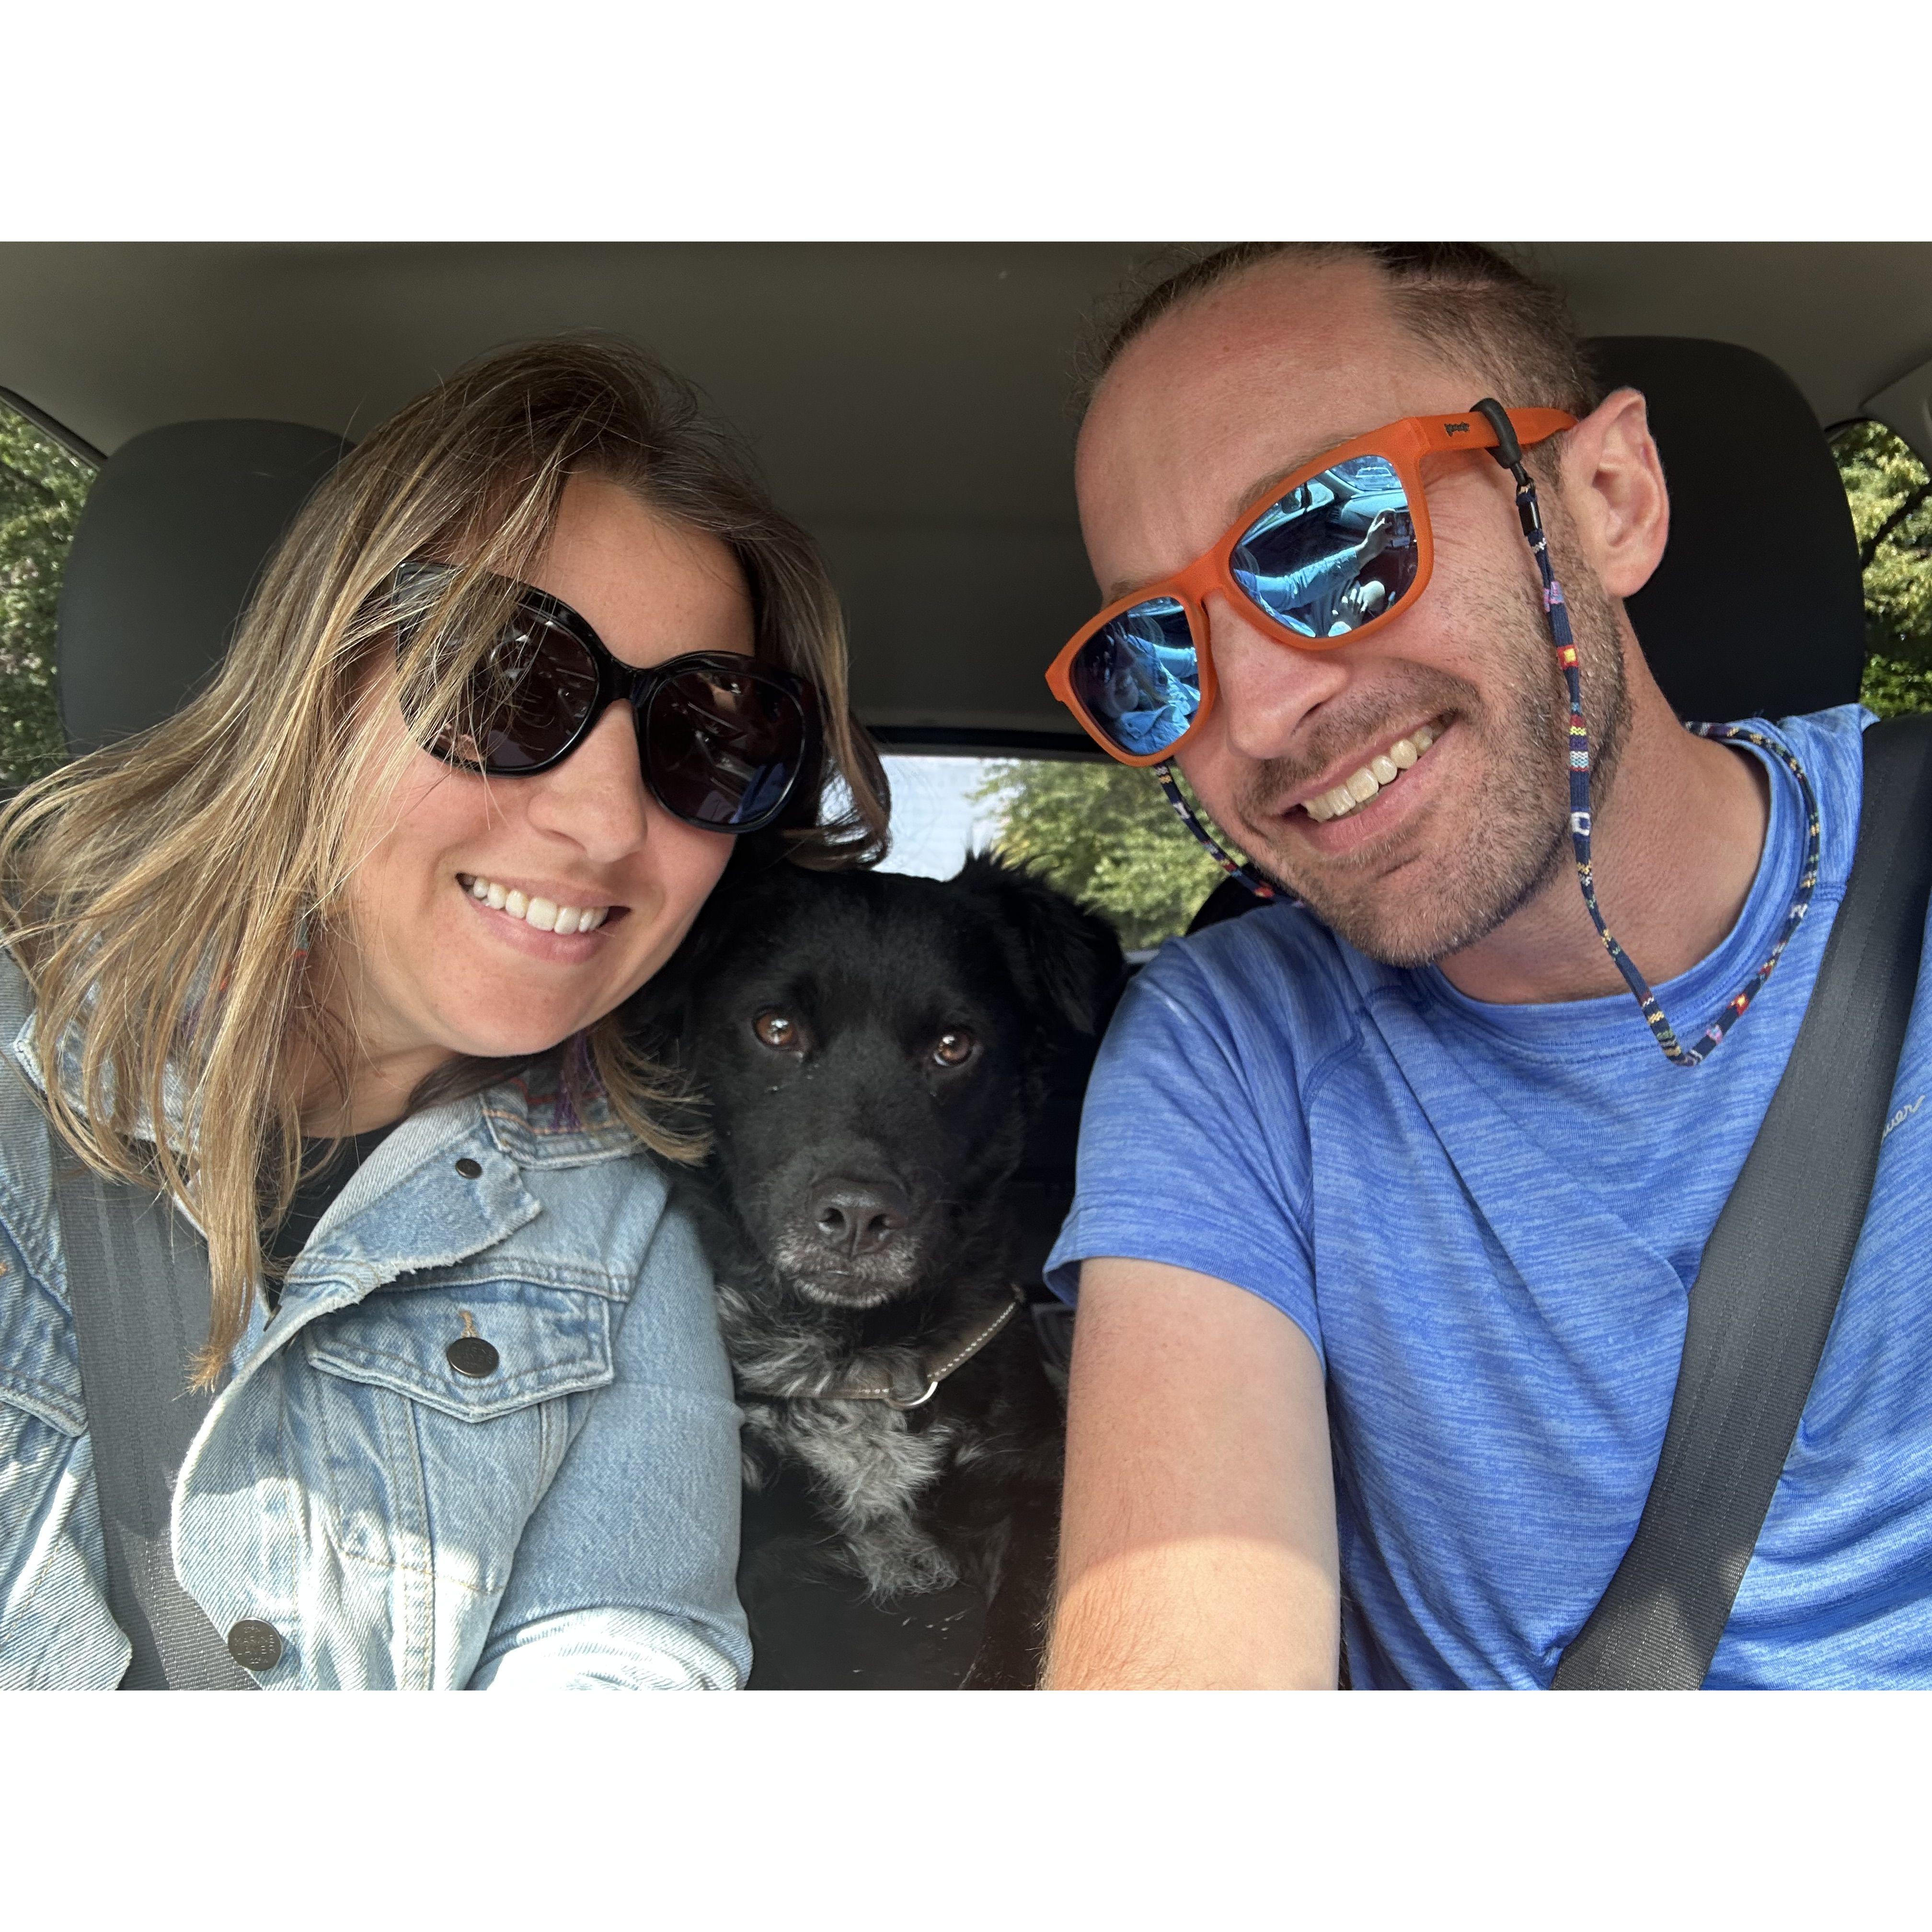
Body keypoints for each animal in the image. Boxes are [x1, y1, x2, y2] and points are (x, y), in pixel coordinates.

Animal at [636, 852, 1122, 1687]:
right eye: (776, 1028)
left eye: (955, 1046)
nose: (859, 1217)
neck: (856, 1363)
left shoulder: (1038, 1491)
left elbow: (1021, 1634)